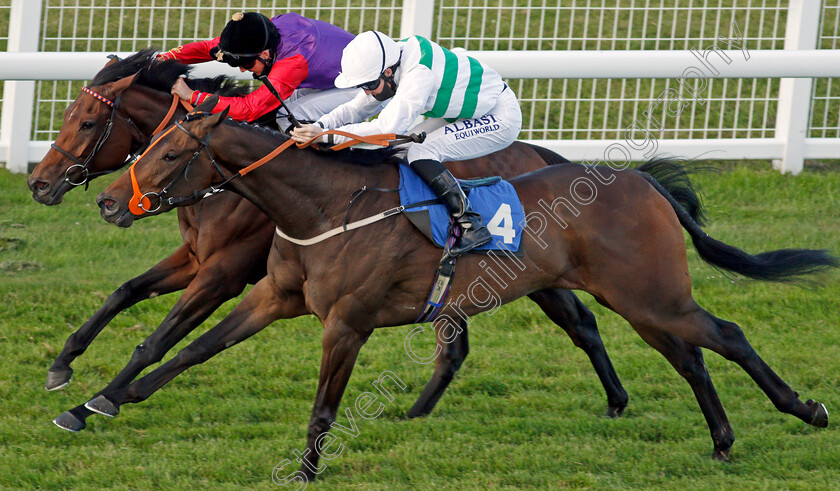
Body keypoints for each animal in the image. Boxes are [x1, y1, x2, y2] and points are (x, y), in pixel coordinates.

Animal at [26, 51, 664, 430]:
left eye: (87, 122)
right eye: (72, 115)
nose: (40, 184)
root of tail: (538, 153)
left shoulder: (224, 271)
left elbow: (159, 339)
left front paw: (97, 400)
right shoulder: (197, 258)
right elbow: (127, 292)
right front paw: (63, 366)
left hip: (528, 273)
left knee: (581, 322)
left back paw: (617, 400)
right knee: (464, 343)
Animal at [92, 104, 832, 480]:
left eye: (167, 153)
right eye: (146, 144)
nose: (105, 202)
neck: (325, 205)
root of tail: (641, 181)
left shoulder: (347, 322)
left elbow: (324, 406)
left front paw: (305, 469)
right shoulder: (274, 295)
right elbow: (194, 348)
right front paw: (105, 398)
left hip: (651, 294)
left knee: (725, 337)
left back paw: (805, 409)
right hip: (640, 301)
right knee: (690, 356)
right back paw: (722, 439)